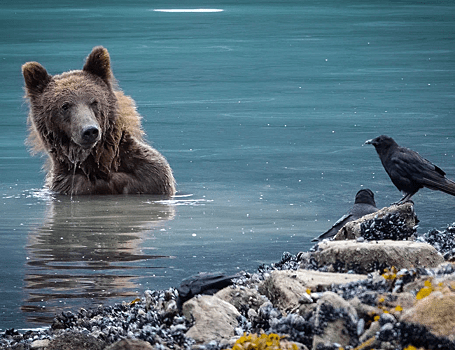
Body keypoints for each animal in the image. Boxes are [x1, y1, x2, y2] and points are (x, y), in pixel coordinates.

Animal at [22, 45, 176, 197]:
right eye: (65, 106)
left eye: (94, 102)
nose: (89, 130)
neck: (101, 165)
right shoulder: (70, 185)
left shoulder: (150, 178)